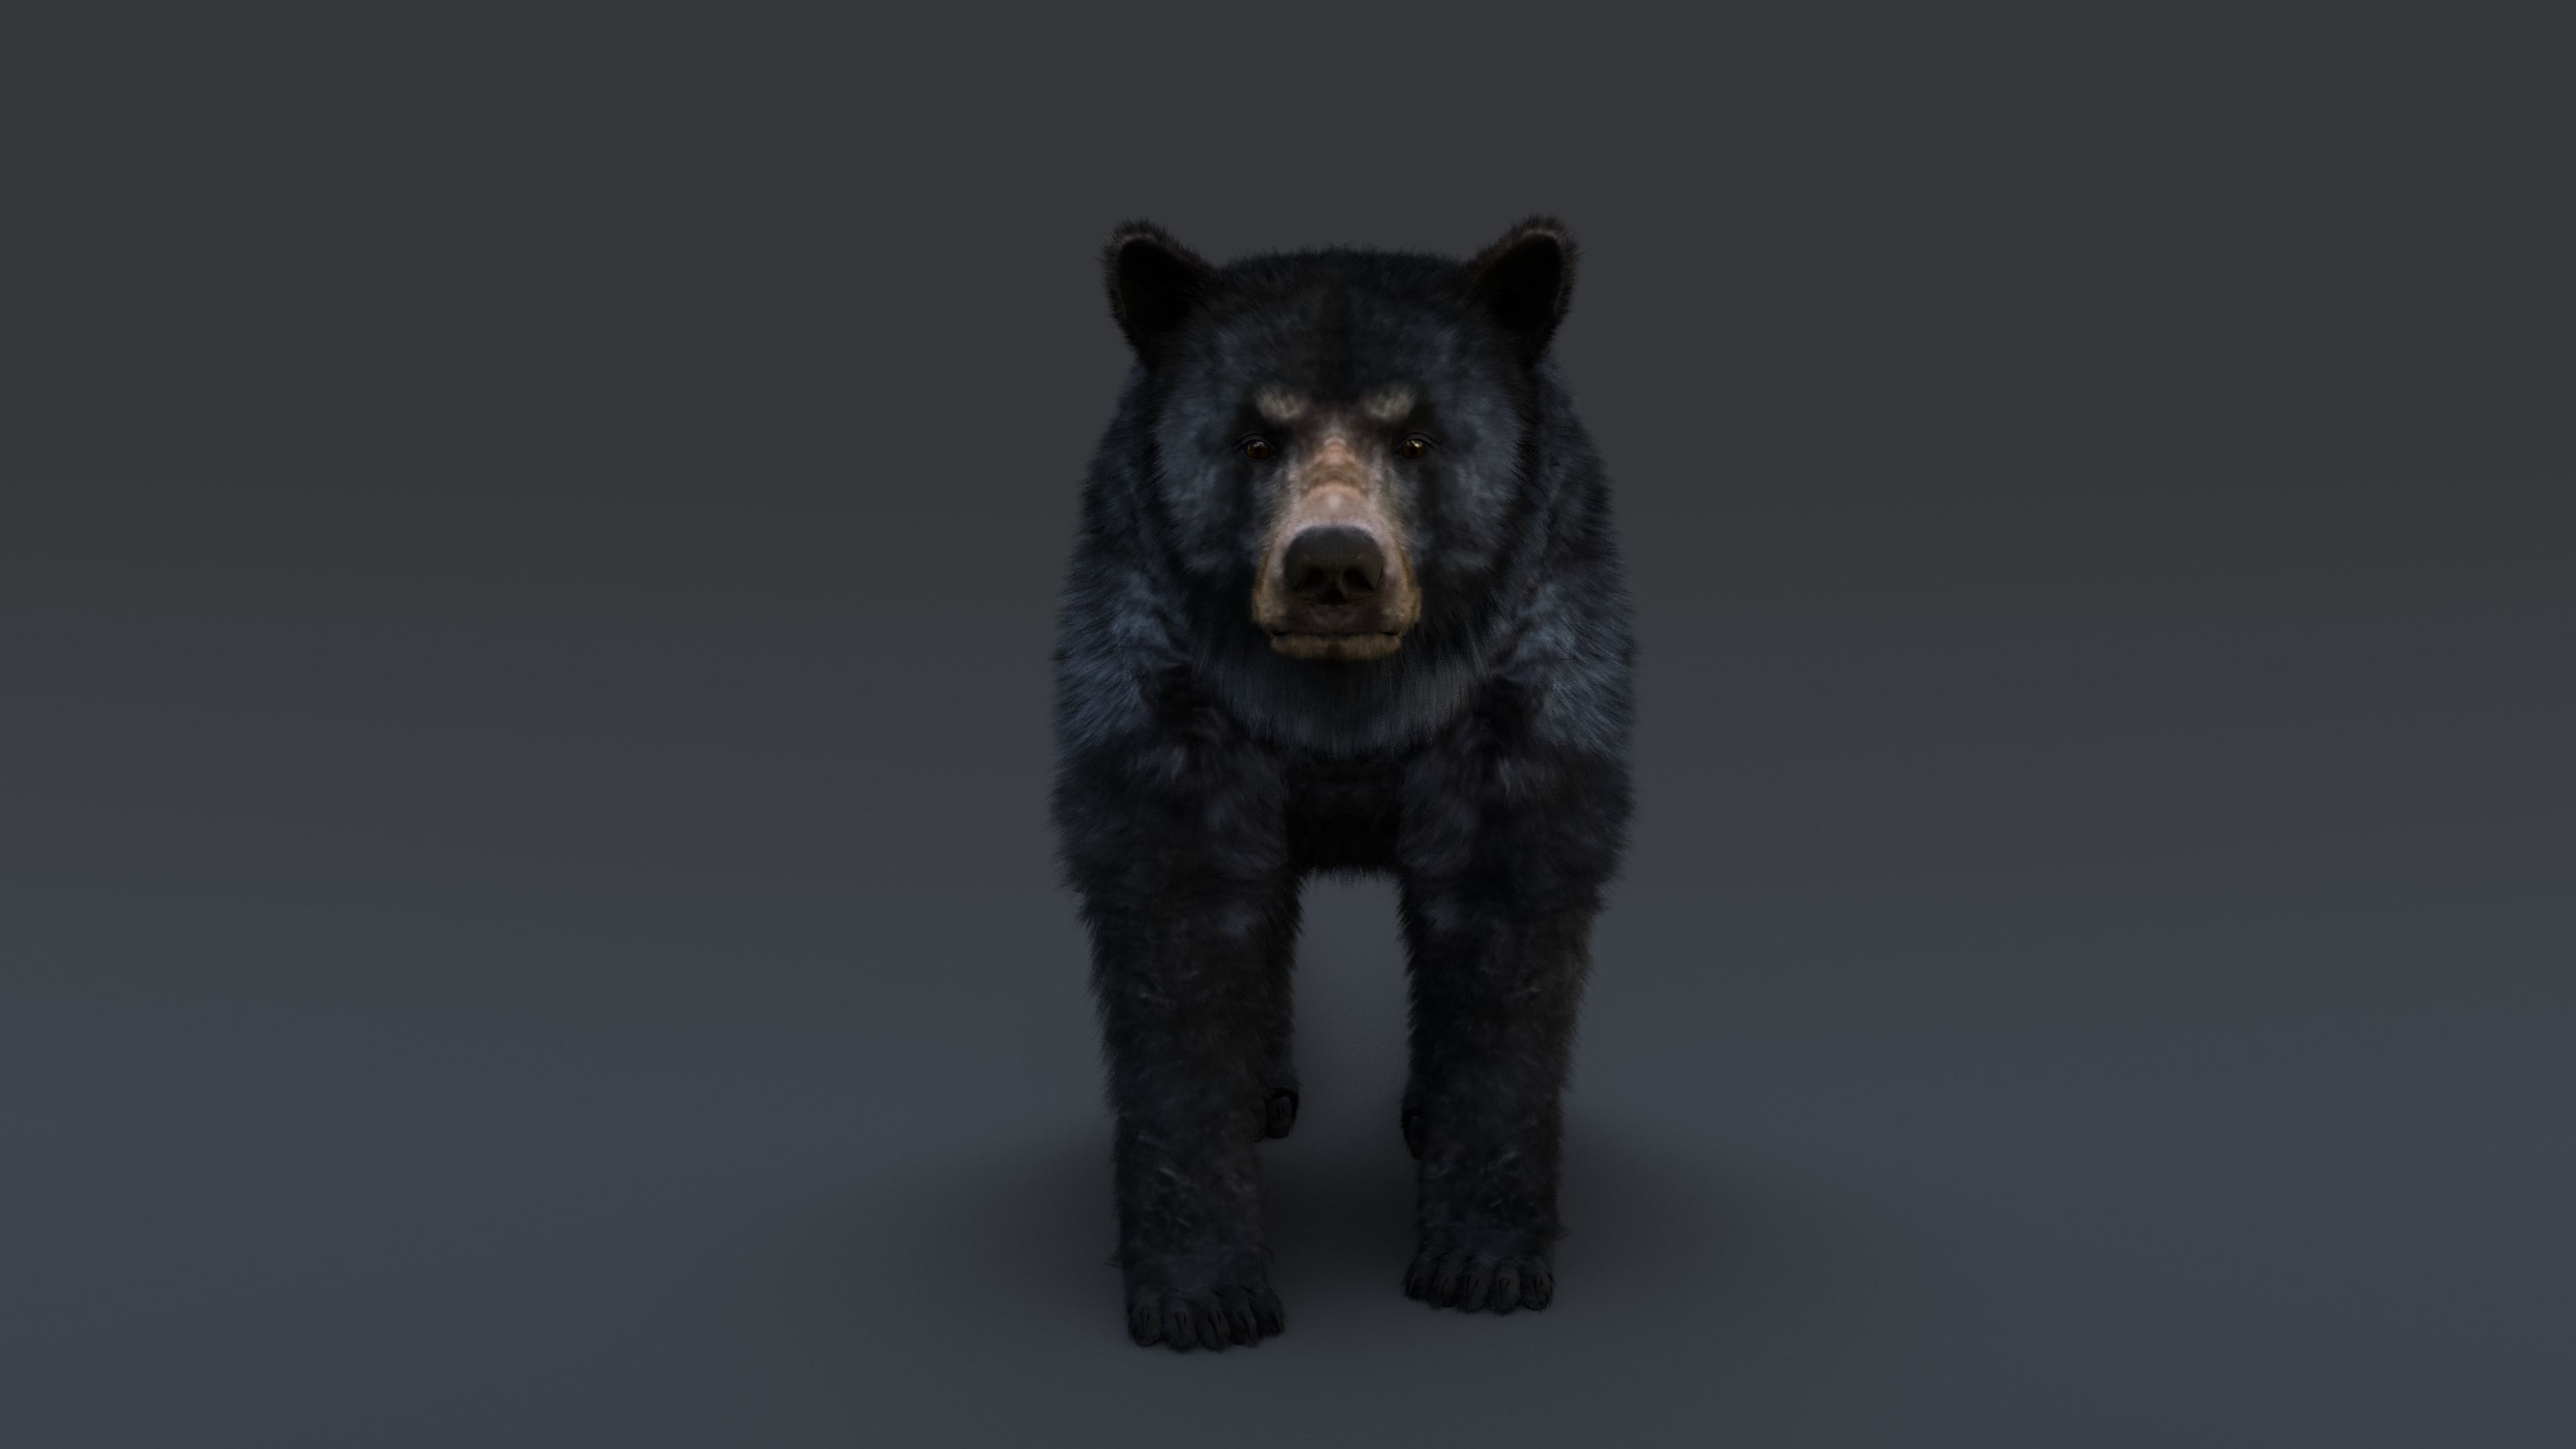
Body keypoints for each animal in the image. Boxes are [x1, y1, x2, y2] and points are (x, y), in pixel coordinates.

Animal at [1050, 217, 1634, 1351]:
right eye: (1254, 441)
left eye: (1416, 440)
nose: (1332, 567)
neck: (1346, 703)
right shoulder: (1160, 671)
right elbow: (1181, 936)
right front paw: (1202, 1294)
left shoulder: (1529, 667)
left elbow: (1505, 941)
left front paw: (1480, 1261)